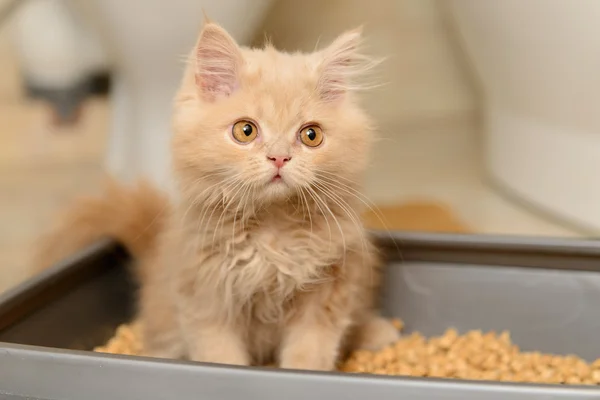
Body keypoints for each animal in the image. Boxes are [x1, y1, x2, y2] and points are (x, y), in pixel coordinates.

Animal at [32, 20, 398, 370]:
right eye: (245, 131)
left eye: (311, 136)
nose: (279, 158)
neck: (272, 231)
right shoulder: (205, 301)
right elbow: (221, 357)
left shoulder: (327, 293)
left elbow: (309, 355)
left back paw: (379, 333)